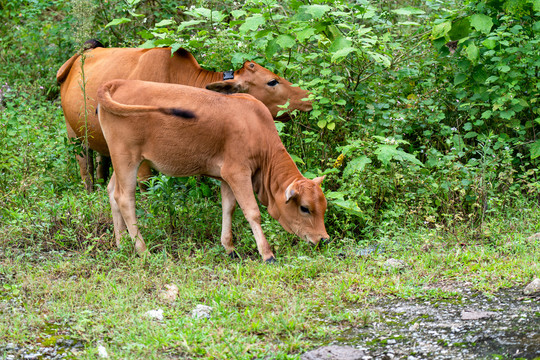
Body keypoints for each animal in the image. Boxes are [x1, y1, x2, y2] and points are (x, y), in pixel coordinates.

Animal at [56, 45, 312, 191]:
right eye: (272, 81)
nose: (308, 96)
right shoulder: (143, 165)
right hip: (73, 135)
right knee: (86, 170)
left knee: (102, 164)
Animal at [95, 79, 326, 262]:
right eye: (304, 208)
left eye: (323, 207)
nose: (324, 239)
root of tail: (117, 82)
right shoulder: (238, 172)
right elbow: (252, 212)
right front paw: (267, 254)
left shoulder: (226, 176)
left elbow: (228, 208)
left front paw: (229, 247)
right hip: (127, 158)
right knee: (125, 199)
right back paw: (143, 250)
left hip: (120, 159)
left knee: (111, 191)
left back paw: (121, 243)